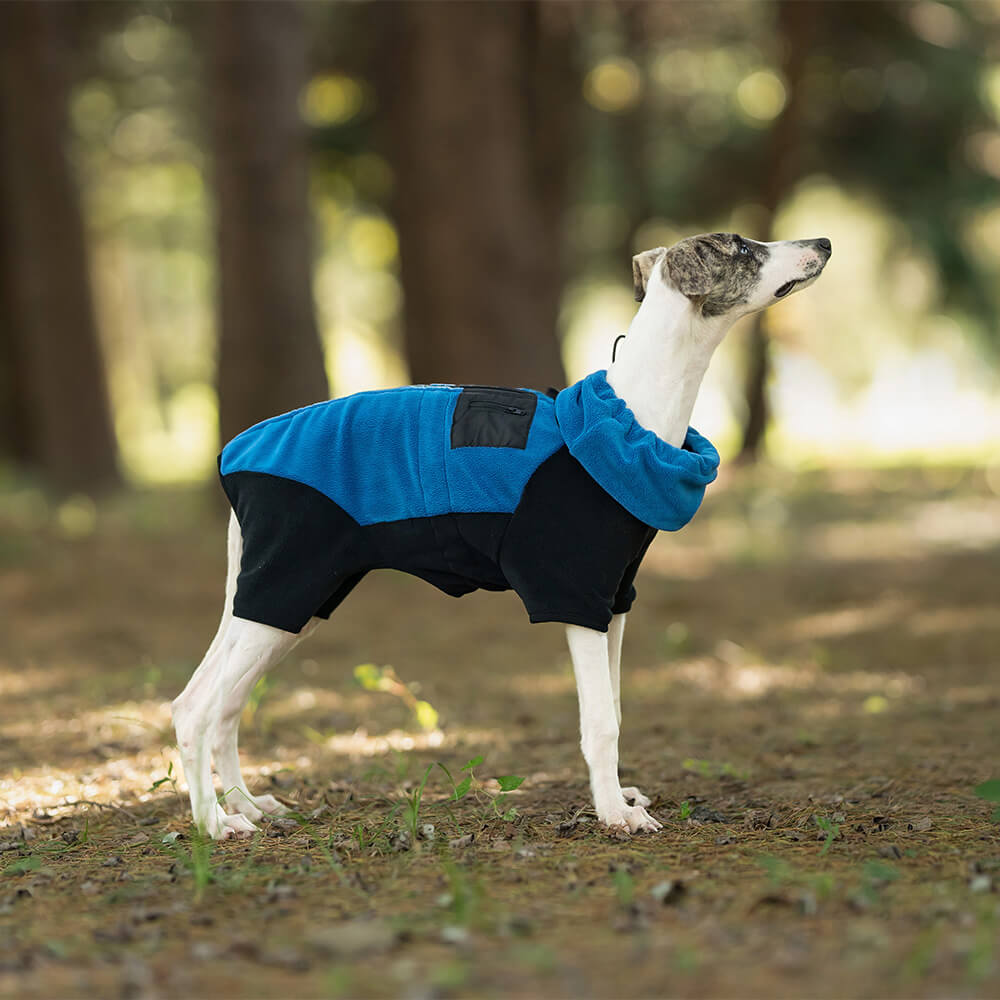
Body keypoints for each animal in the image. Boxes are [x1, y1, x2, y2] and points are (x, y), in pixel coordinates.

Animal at [170, 232, 828, 836]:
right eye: (739, 247)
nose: (821, 242)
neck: (633, 415)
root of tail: (235, 453)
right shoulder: (574, 595)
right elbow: (600, 720)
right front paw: (614, 814)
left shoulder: (615, 600)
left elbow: (614, 703)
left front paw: (619, 794)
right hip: (287, 585)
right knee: (196, 711)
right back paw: (215, 825)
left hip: (287, 605)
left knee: (219, 704)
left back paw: (248, 804)